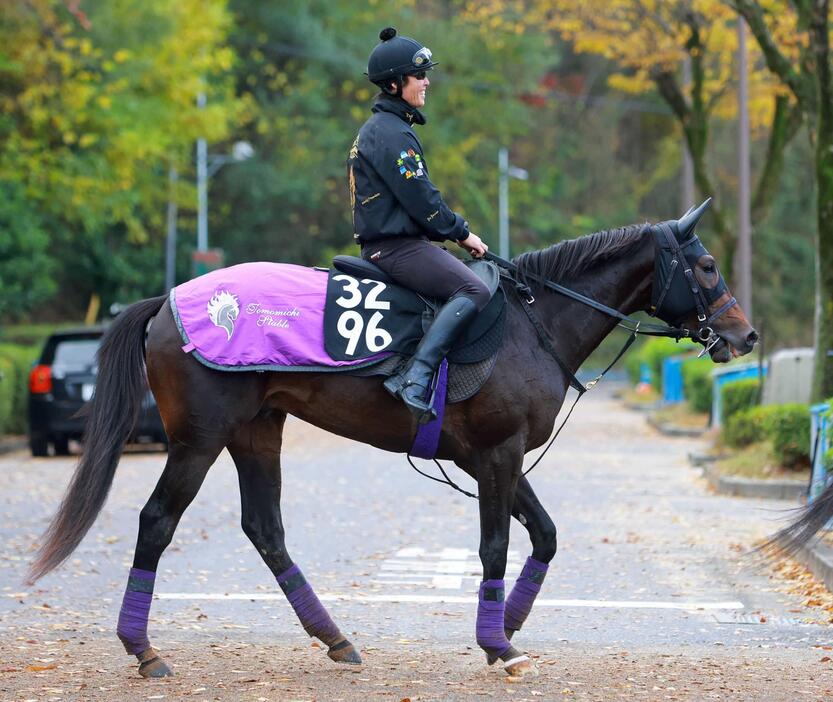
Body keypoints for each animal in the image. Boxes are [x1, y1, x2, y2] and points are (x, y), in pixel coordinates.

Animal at [26, 199, 756, 680]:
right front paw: (497, 643)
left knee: (265, 530)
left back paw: (335, 639)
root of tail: (171, 302)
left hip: (256, 434)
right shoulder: (496, 455)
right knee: (156, 522)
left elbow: (544, 536)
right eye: (706, 265)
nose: (745, 336)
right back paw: (143, 648)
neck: (532, 323)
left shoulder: (494, 459)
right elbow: (494, 546)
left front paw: (509, 625)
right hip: (198, 442)